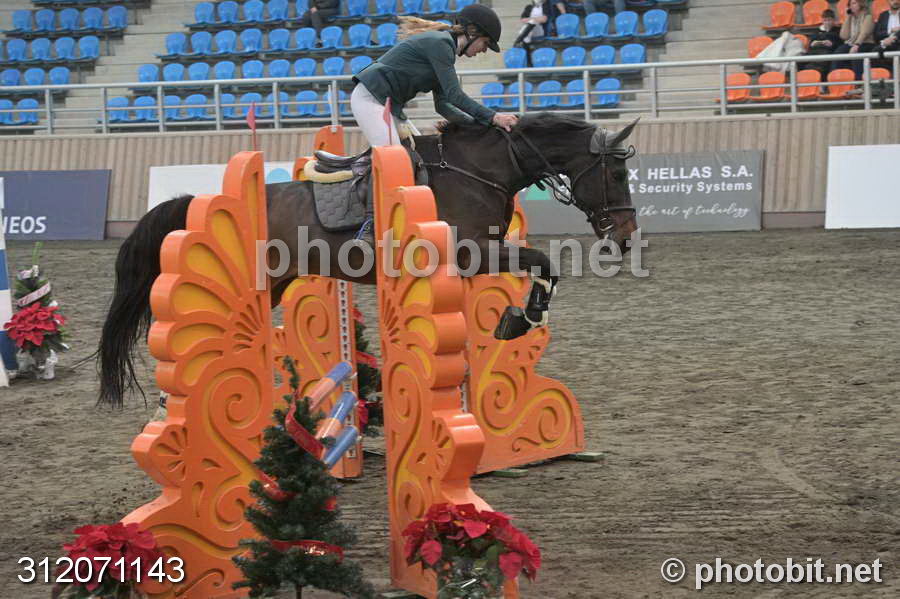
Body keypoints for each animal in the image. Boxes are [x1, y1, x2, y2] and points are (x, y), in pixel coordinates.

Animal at [98, 112, 639, 407]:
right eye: (616, 174)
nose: (626, 236)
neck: (479, 170)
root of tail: (205, 200)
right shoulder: (471, 252)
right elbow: (544, 261)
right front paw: (520, 319)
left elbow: (541, 266)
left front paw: (515, 319)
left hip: (276, 283)